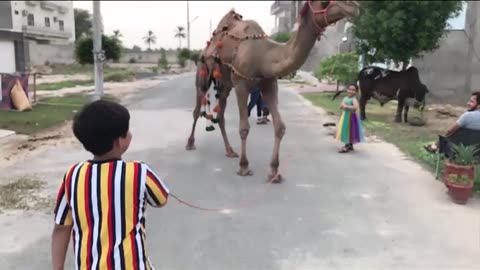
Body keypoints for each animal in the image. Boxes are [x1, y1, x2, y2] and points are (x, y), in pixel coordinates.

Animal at [185, 9, 244, 158]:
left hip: (221, 82)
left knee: (218, 114)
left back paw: (229, 150)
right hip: (204, 73)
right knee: (198, 109)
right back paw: (190, 143)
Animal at [204, 0, 358, 184]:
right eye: (324, 2)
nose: (354, 6)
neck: (264, 56)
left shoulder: (269, 83)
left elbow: (280, 126)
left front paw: (274, 172)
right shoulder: (241, 84)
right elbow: (244, 127)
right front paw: (244, 167)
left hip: (225, 84)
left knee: (220, 114)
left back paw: (229, 151)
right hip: (209, 71)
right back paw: (192, 144)